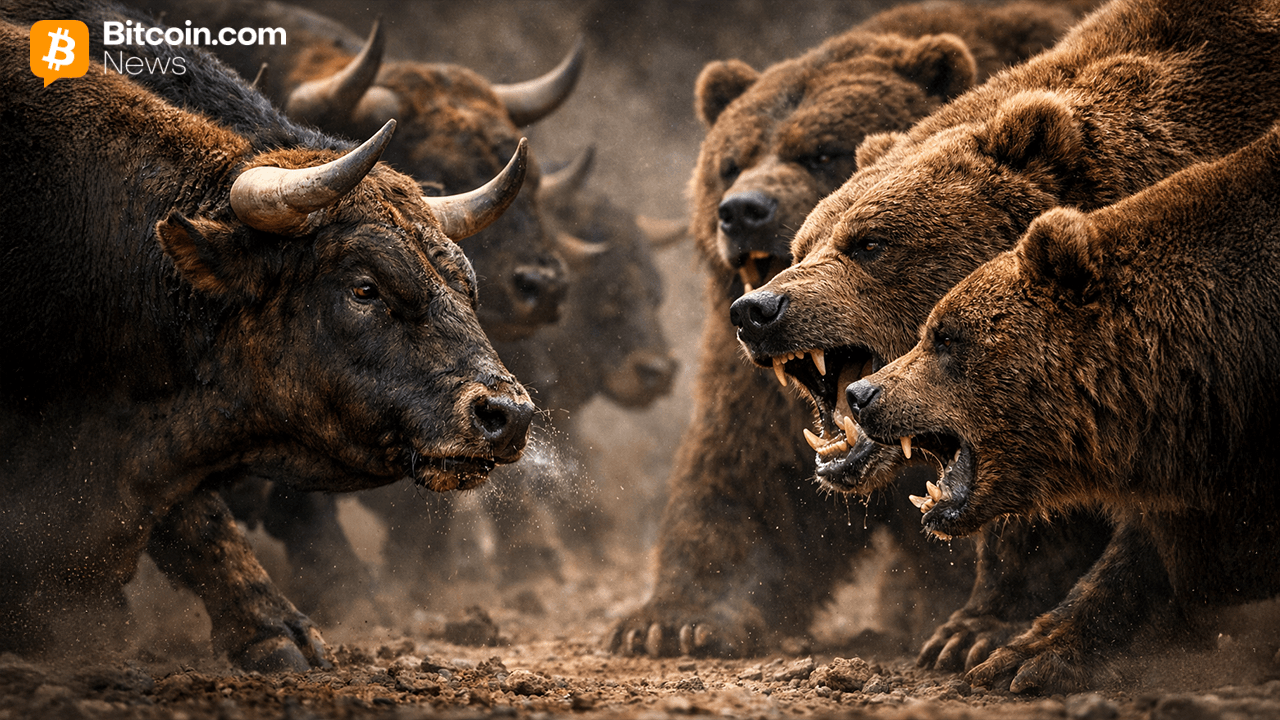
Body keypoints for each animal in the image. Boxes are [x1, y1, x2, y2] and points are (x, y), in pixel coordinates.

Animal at [611, 1, 1082, 658]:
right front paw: (669, 620)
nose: (743, 210)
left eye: (821, 152)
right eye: (730, 162)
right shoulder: (755, 382)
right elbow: (747, 475)